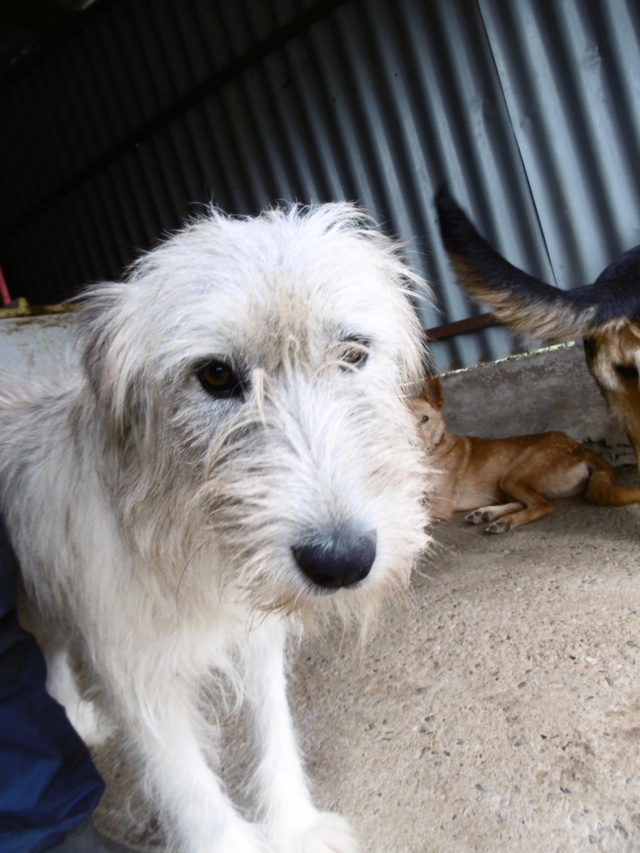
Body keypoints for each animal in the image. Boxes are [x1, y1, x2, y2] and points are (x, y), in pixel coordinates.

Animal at [1, 203, 430, 848]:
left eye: (353, 353)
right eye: (217, 376)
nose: (342, 561)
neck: (197, 535)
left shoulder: (256, 633)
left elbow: (273, 729)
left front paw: (294, 825)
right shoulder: (138, 668)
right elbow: (186, 784)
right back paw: (68, 708)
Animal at [410, 374, 640, 532]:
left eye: (425, 419)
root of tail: (580, 447)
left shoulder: (439, 505)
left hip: (514, 475)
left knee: (542, 505)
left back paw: (505, 522)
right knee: (525, 502)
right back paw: (486, 514)